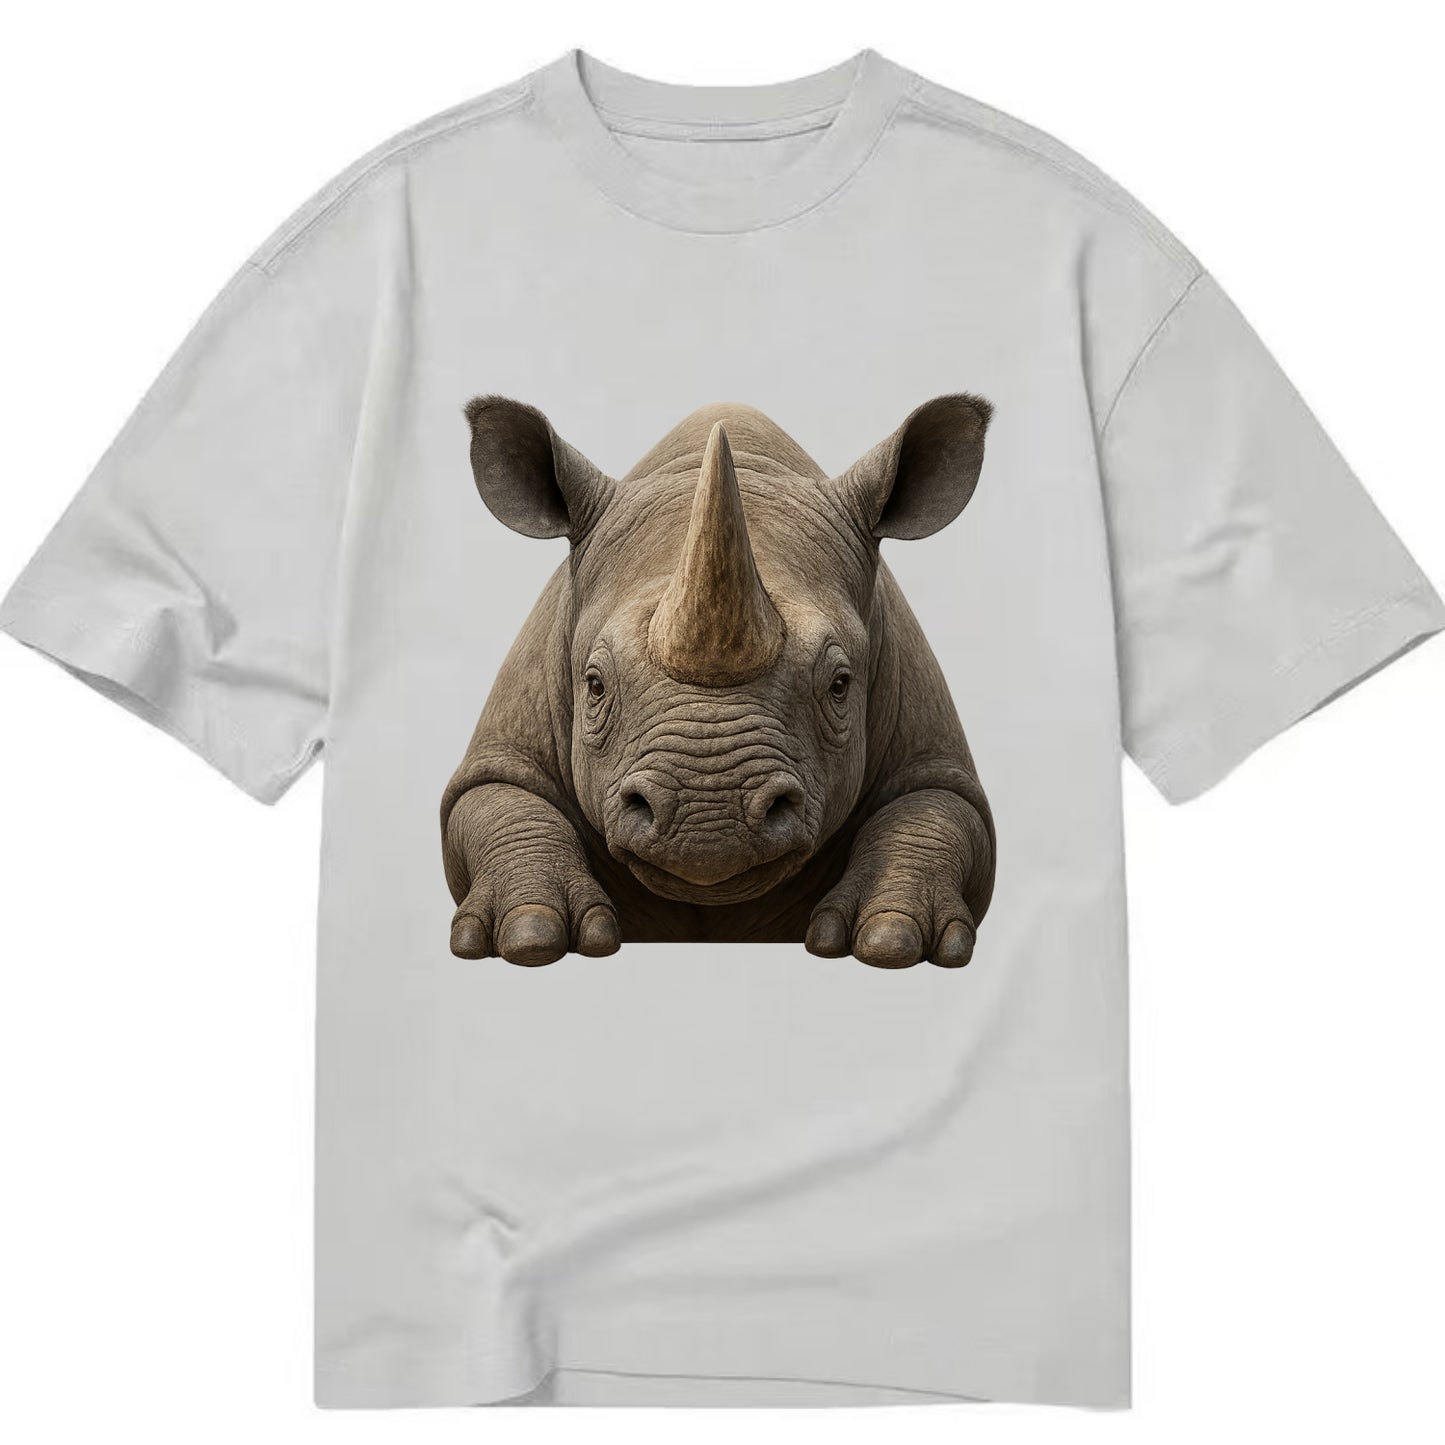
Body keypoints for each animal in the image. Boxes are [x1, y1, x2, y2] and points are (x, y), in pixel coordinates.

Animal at [441, 396, 996, 969]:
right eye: (594, 685)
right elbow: (498, 799)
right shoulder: (506, 745)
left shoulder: (929, 747)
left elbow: (935, 809)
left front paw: (891, 940)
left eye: (840, 685)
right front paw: (530, 936)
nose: (709, 822)